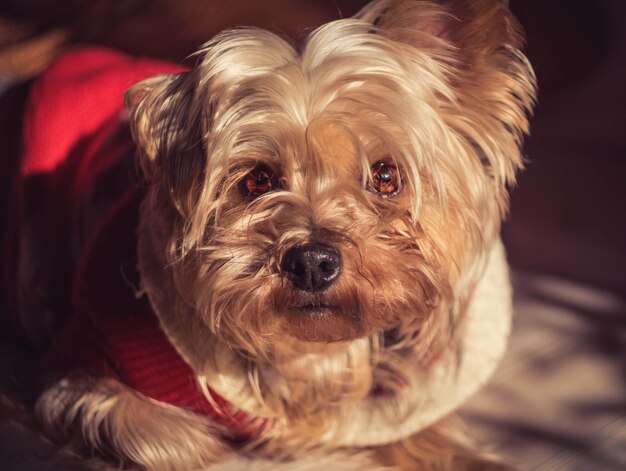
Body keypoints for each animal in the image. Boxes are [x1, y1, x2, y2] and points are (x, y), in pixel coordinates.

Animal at [12, 0, 532, 470]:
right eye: (258, 179)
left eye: (385, 176)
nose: (312, 262)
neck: (311, 351)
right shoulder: (82, 359)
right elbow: (162, 435)